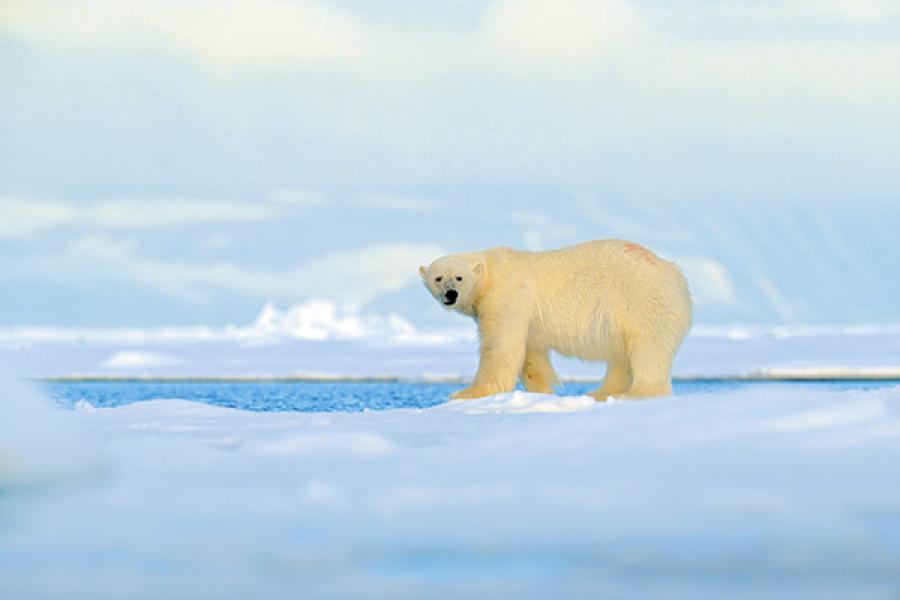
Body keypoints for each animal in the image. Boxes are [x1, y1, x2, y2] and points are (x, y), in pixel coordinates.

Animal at [418, 238, 692, 398]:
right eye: (438, 278)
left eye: (459, 277)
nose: (451, 294)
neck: (490, 271)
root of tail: (674, 273)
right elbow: (531, 353)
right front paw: (543, 391)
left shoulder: (506, 295)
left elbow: (500, 346)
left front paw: (467, 393)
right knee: (622, 357)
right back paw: (599, 393)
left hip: (642, 301)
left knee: (648, 349)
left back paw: (638, 392)